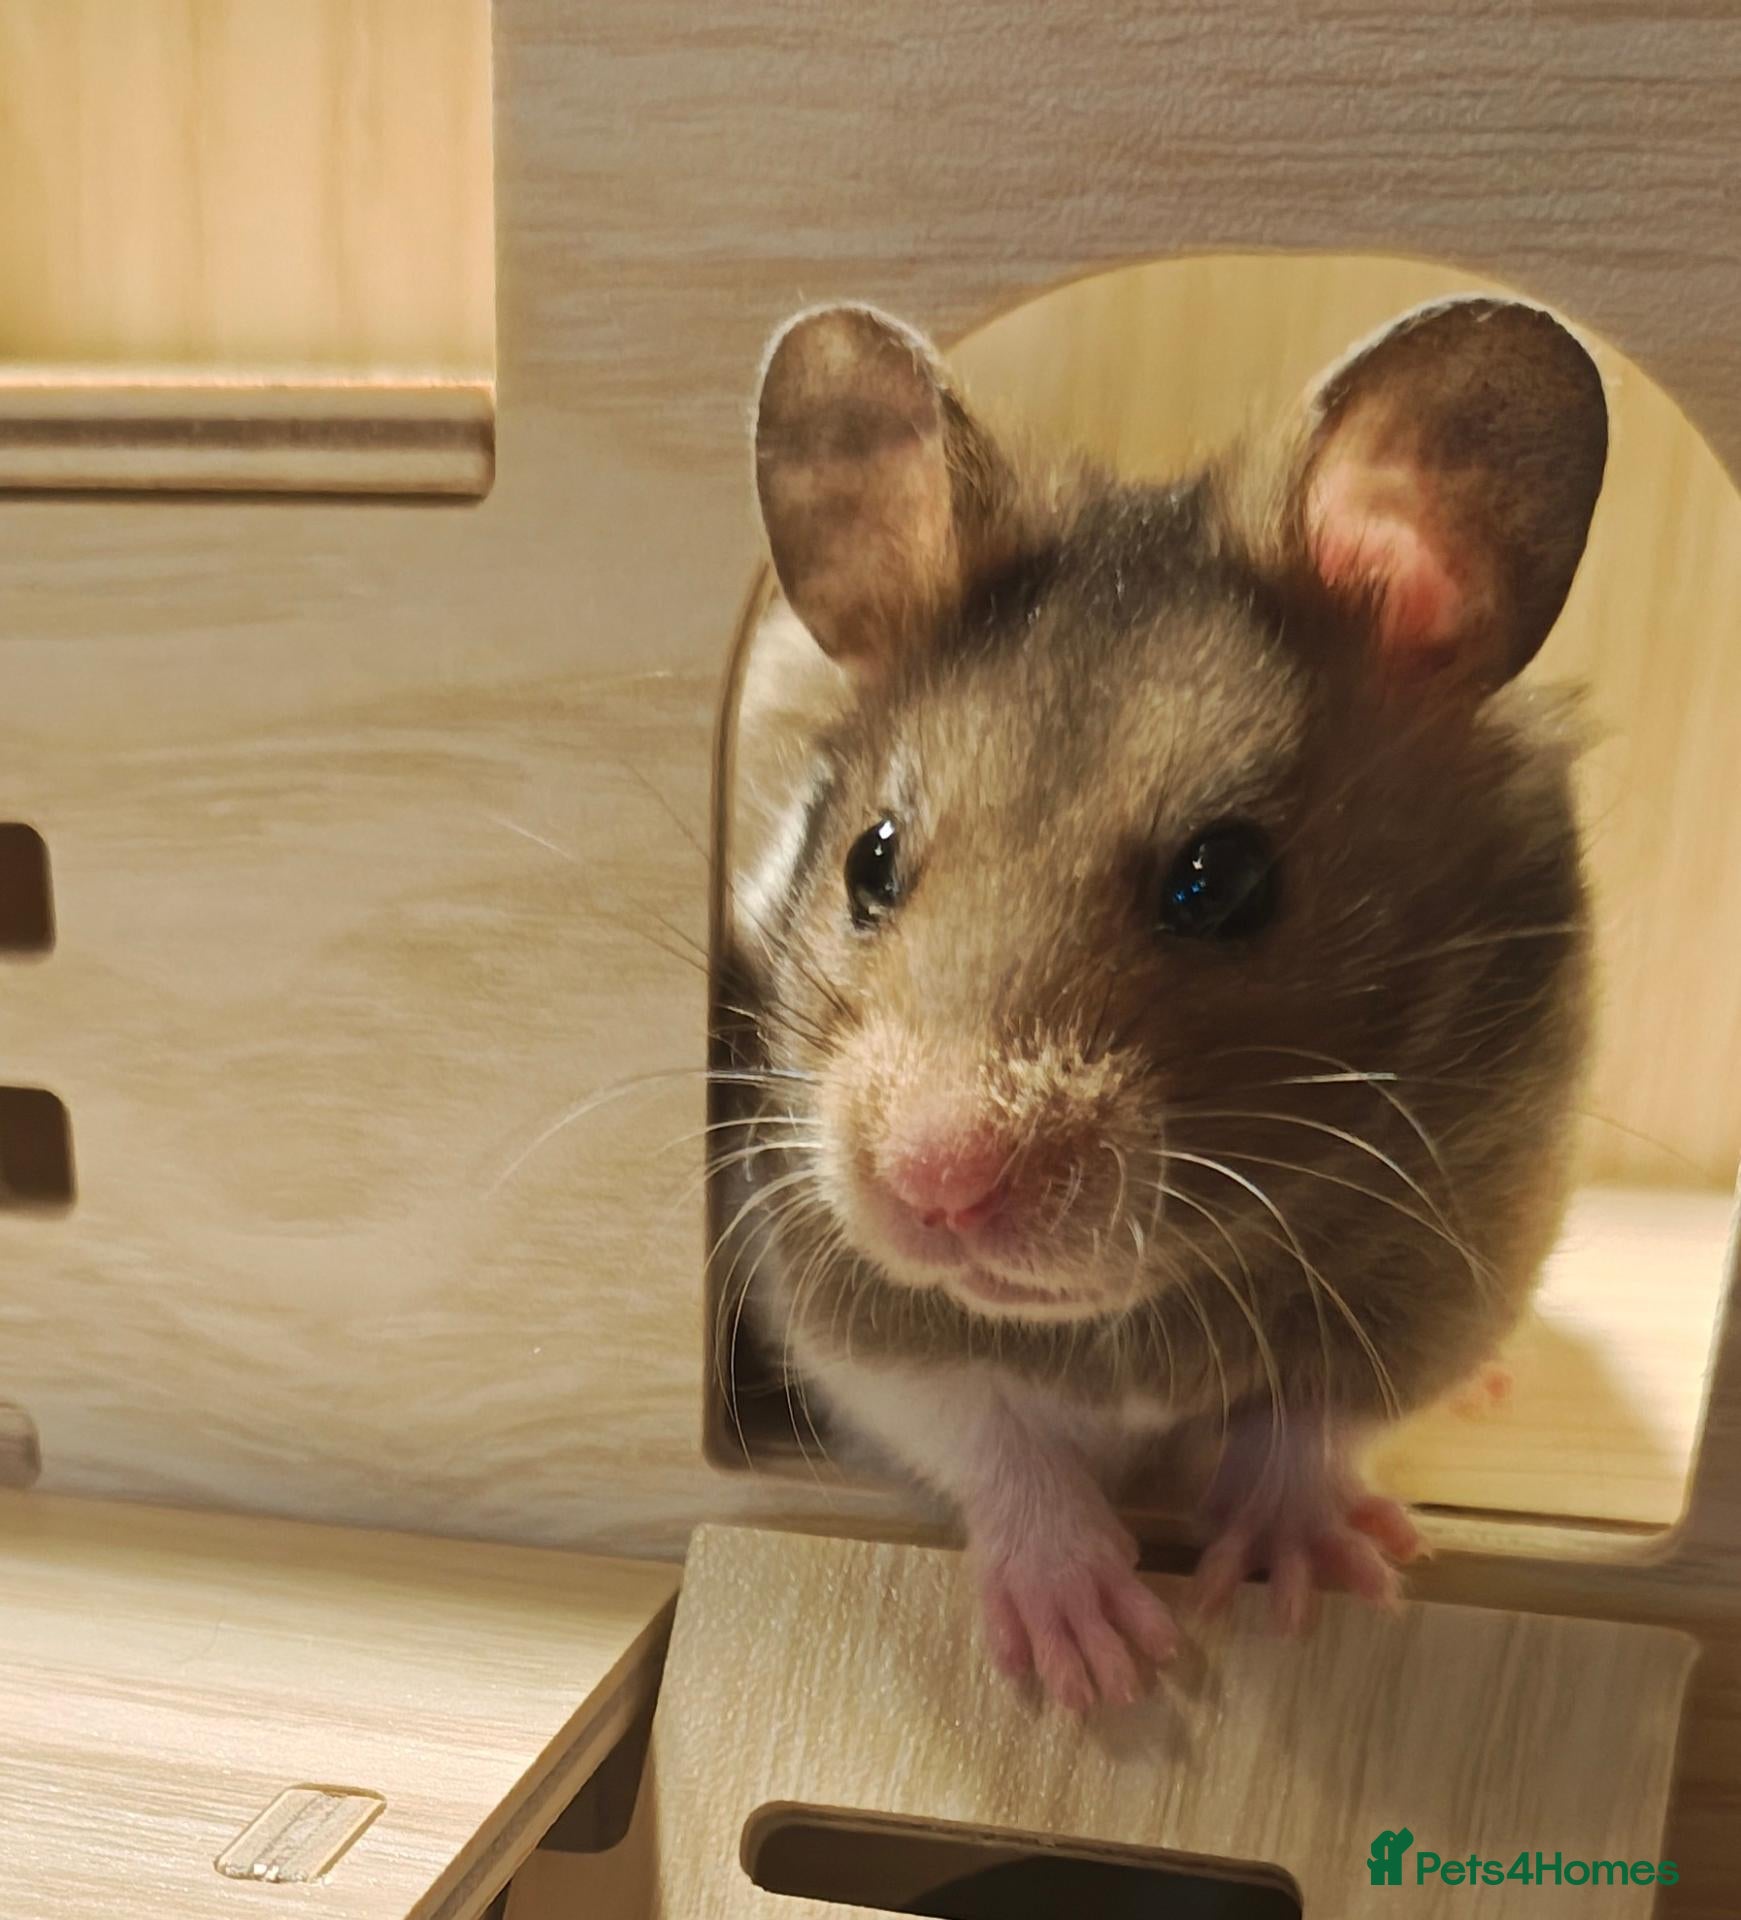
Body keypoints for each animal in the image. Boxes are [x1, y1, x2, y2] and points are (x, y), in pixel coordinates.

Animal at [722, 296, 1605, 1711]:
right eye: (870, 861)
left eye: (1222, 881)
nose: (934, 1186)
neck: (1123, 1314)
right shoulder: (828, 1284)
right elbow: (976, 1420)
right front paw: (1098, 1664)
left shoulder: (1454, 1253)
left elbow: (1315, 1419)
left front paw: (1303, 1581)